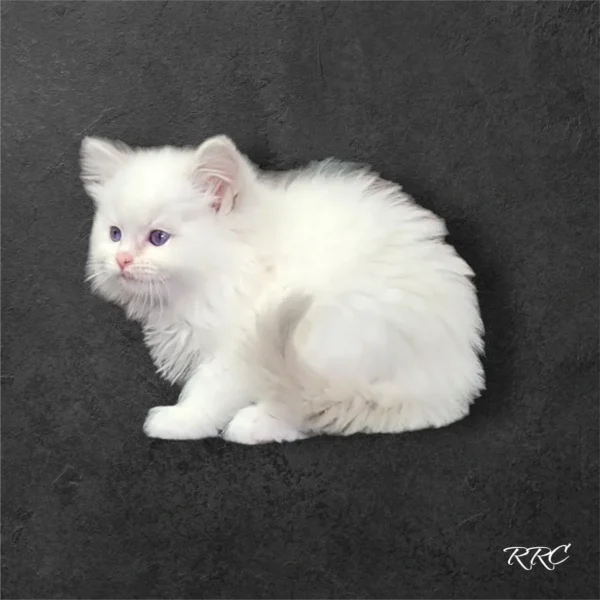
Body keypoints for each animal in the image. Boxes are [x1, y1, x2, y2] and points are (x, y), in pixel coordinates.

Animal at [79, 136, 486, 446]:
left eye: (158, 238)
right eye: (114, 234)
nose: (122, 260)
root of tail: (454, 381)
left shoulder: (239, 347)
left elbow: (209, 391)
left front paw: (180, 421)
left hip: (329, 332)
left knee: (302, 408)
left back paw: (253, 425)